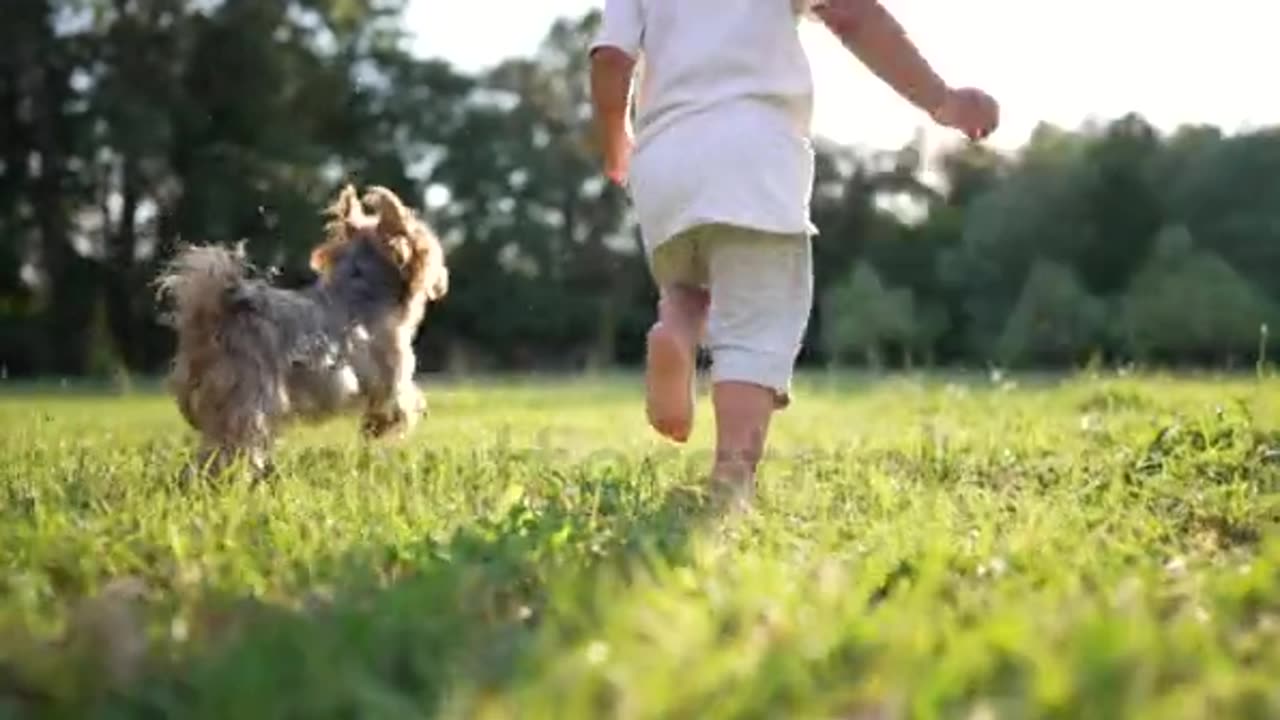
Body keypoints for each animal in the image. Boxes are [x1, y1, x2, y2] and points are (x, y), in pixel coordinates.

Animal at [155, 184, 450, 476]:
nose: (441, 278)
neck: (361, 289)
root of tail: (214, 313)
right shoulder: (391, 375)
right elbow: (402, 402)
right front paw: (382, 426)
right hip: (251, 396)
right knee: (234, 444)